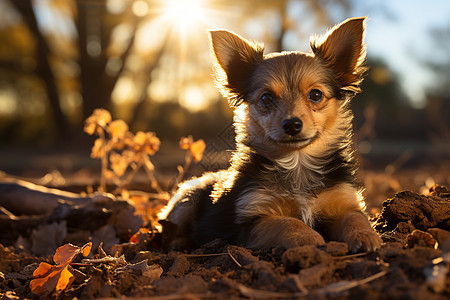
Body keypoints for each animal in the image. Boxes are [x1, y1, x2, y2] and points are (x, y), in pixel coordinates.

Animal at [160, 17, 382, 253]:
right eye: (266, 98)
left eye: (316, 95)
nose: (292, 124)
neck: (297, 163)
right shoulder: (254, 218)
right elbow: (287, 222)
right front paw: (308, 237)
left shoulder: (343, 201)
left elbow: (355, 217)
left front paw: (367, 236)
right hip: (187, 198)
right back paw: (180, 243)